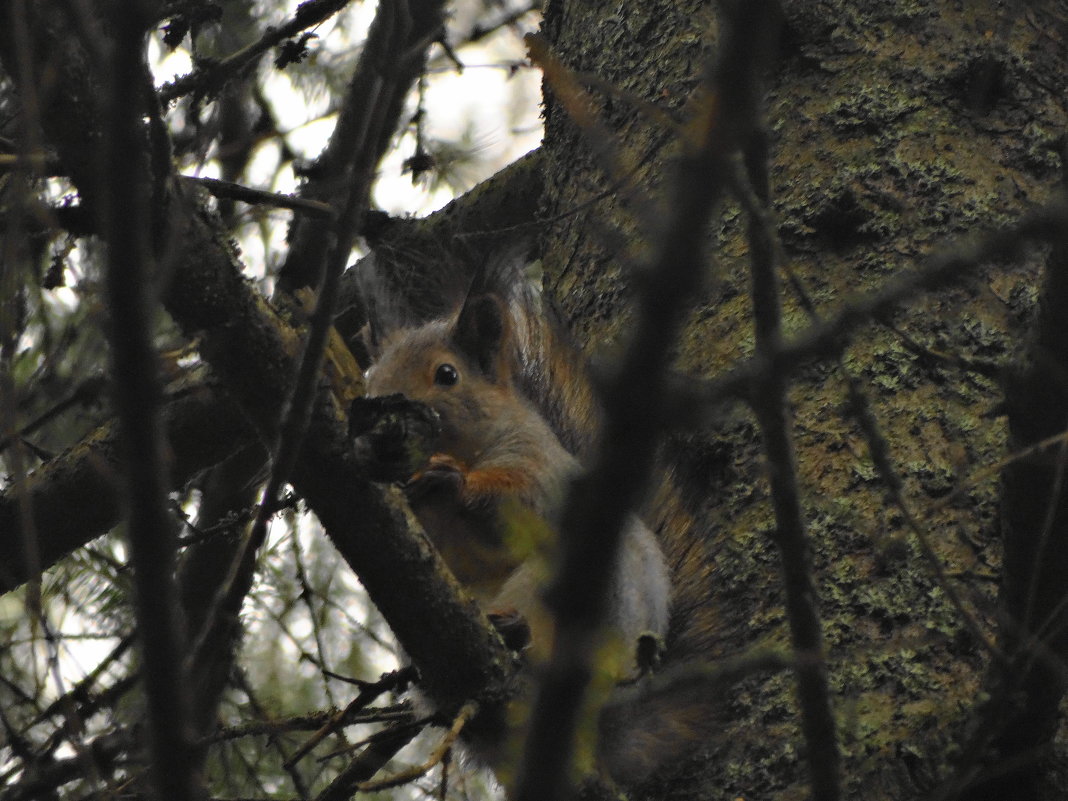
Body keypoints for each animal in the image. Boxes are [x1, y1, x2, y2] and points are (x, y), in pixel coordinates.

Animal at [356, 250, 717, 790]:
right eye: (370, 381)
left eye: (447, 374)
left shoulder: (546, 471)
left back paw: (516, 634)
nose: (376, 424)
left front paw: (455, 481)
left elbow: (520, 502)